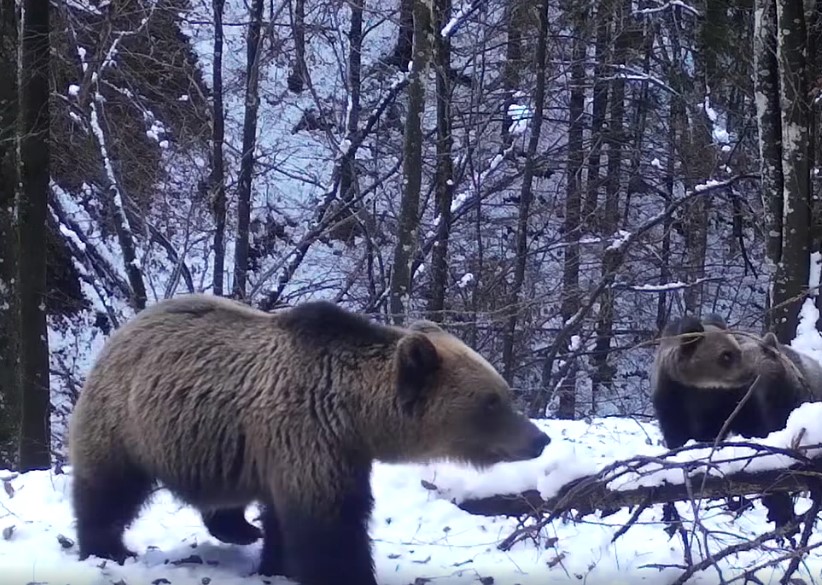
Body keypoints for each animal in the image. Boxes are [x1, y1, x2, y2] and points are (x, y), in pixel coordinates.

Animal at [67, 294, 552, 584]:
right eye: (491, 401)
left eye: (504, 393)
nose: (539, 439)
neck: (355, 413)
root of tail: (125, 328)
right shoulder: (309, 436)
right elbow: (329, 524)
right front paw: (347, 573)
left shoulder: (310, 448)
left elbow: (287, 517)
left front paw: (277, 564)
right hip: (124, 419)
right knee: (108, 487)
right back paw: (107, 548)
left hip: (217, 439)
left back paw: (239, 529)